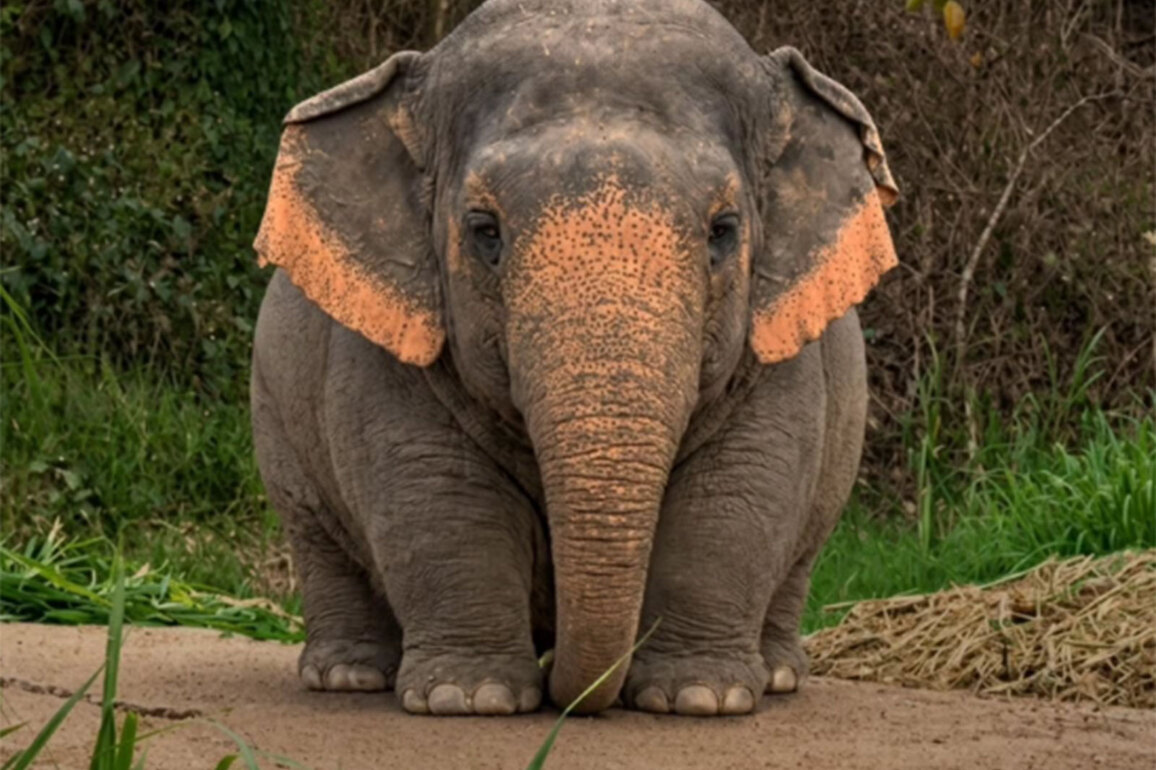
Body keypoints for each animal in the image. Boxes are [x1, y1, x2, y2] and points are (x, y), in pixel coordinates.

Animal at [250, 0, 898, 717]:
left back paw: (778, 674)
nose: (569, 690)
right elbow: (437, 491)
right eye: (485, 231)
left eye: (724, 230)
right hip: (275, 417)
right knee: (317, 536)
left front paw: (700, 697)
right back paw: (348, 676)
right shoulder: (388, 343)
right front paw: (467, 697)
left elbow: (738, 488)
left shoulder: (778, 343)